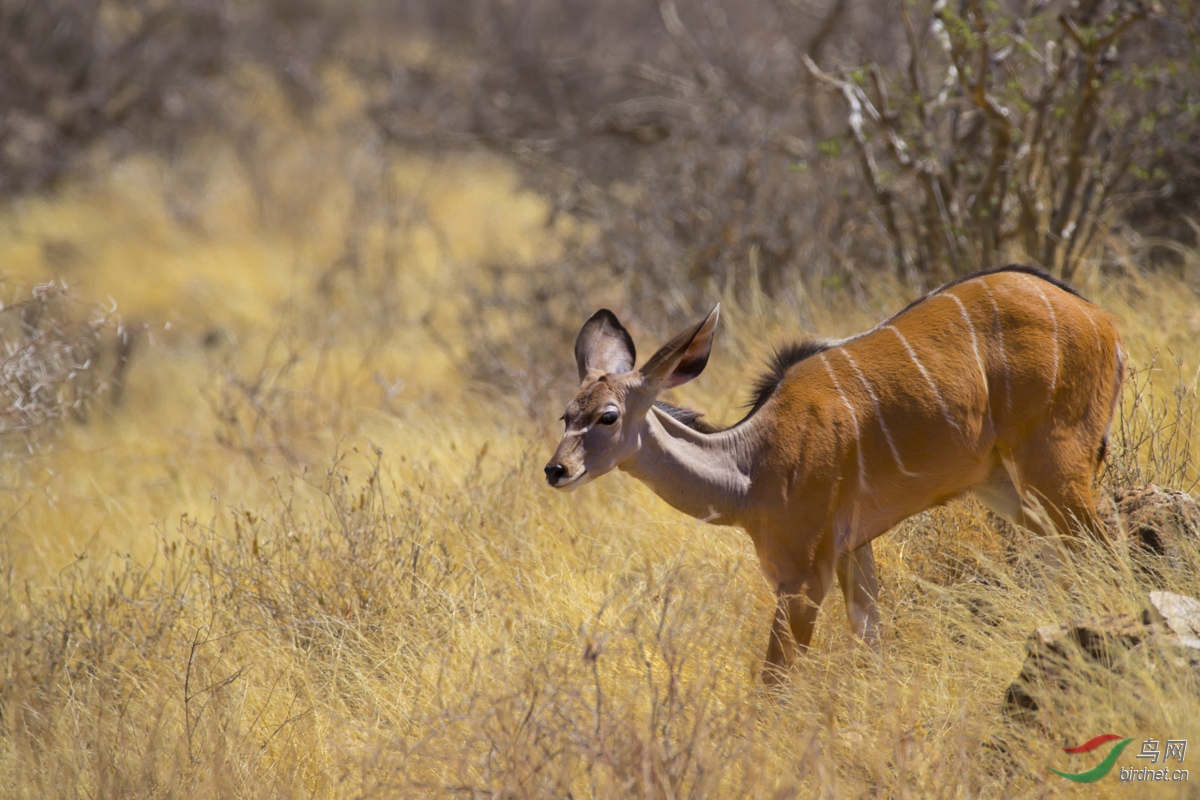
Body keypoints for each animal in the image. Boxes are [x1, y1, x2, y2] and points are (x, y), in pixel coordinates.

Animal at [544, 266, 1123, 681]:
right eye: (566, 415)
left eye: (608, 416)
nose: (556, 470)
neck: (749, 467)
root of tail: (1101, 321)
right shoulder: (853, 549)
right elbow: (872, 639)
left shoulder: (803, 574)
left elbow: (775, 677)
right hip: (1009, 487)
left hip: (1054, 467)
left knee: (1104, 549)